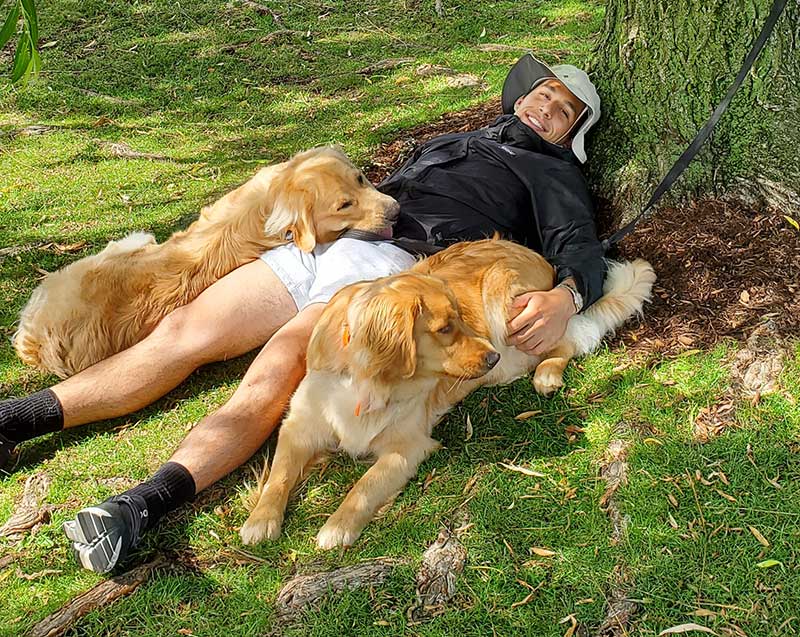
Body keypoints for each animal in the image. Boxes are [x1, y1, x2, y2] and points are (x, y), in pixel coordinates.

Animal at [241, 237, 652, 548]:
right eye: (444, 328)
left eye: (459, 318)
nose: (491, 355)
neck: (369, 380)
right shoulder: (300, 425)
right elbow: (279, 473)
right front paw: (261, 519)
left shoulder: (407, 447)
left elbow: (364, 485)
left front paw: (337, 526)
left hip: (507, 300)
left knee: (564, 343)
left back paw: (545, 374)